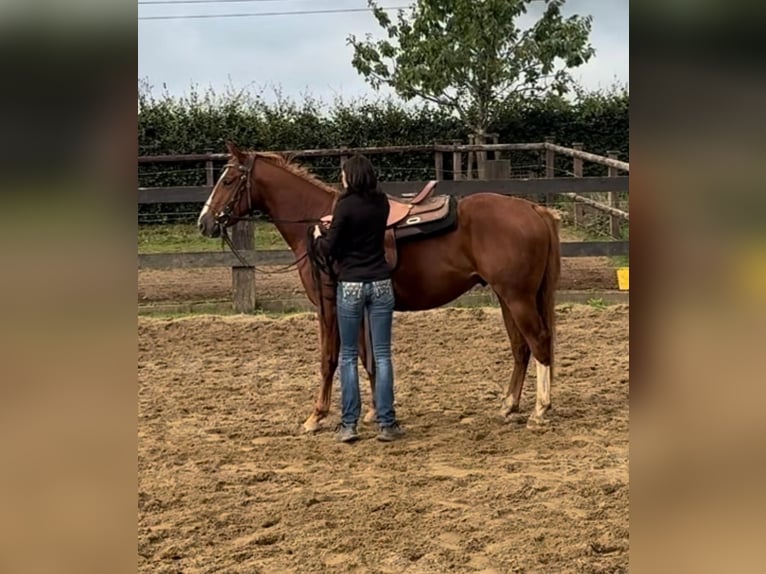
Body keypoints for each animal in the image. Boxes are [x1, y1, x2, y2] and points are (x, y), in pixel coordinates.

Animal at [197, 142, 561, 432]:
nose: (205, 222)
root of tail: (533, 209)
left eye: (228, 180)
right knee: (521, 347)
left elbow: (329, 357)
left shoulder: (330, 305)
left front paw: (316, 416)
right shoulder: (355, 304)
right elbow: (366, 355)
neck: (316, 222)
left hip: (518, 297)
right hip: (507, 297)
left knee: (539, 341)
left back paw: (541, 410)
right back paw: (510, 405)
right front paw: (374, 411)